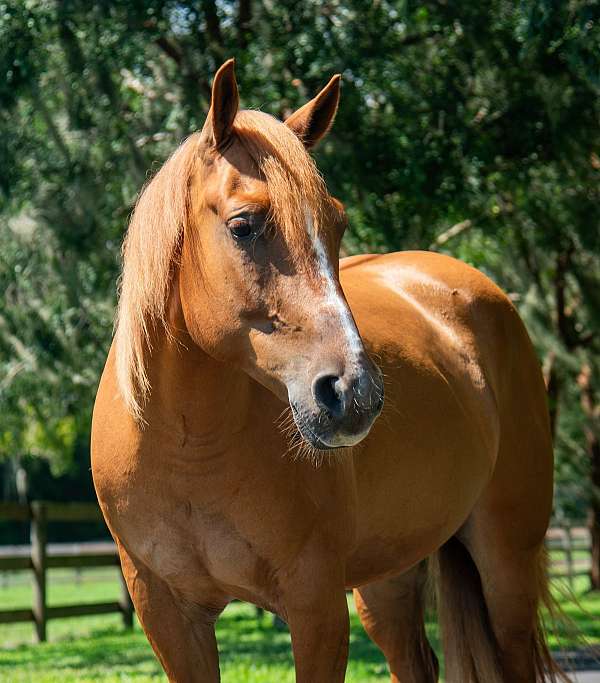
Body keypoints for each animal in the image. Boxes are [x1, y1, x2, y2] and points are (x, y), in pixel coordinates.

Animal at [91, 59, 570, 683]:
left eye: (337, 224)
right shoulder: (166, 614)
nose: (354, 393)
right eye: (243, 225)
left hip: (505, 563)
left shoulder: (314, 603)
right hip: (388, 581)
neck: (188, 449)